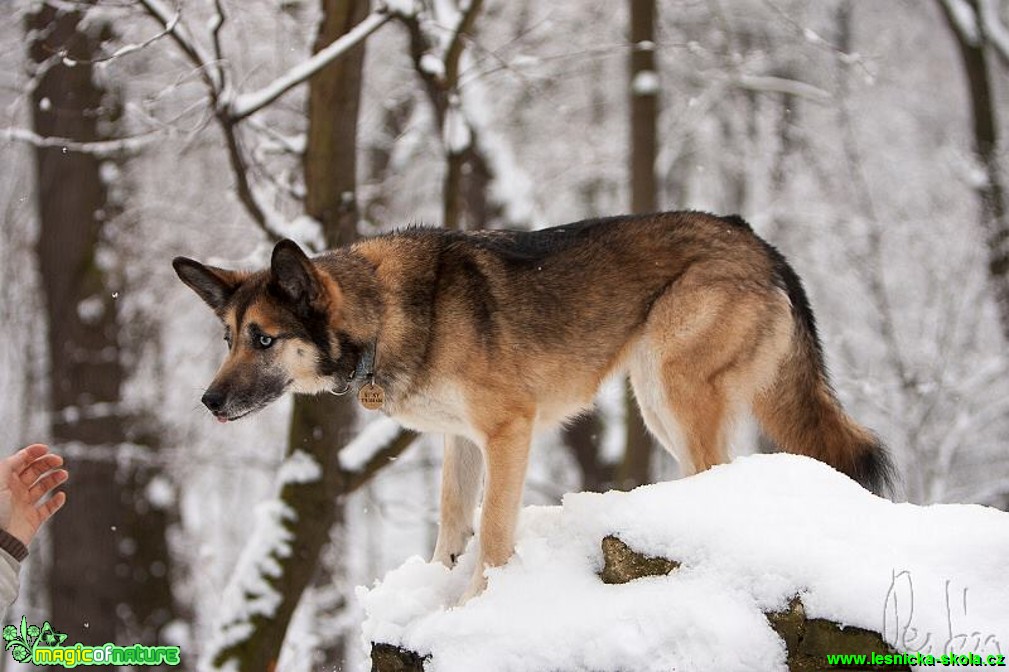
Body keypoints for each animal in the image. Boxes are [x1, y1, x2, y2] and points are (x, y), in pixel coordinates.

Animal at [175, 209, 900, 597]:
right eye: (227, 339)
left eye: (264, 339)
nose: (207, 400)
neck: (388, 317)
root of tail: (756, 238)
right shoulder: (460, 440)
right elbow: (451, 520)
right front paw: (438, 589)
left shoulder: (508, 432)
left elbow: (494, 531)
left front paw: (476, 605)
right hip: (654, 401)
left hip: (672, 387)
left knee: (715, 469)